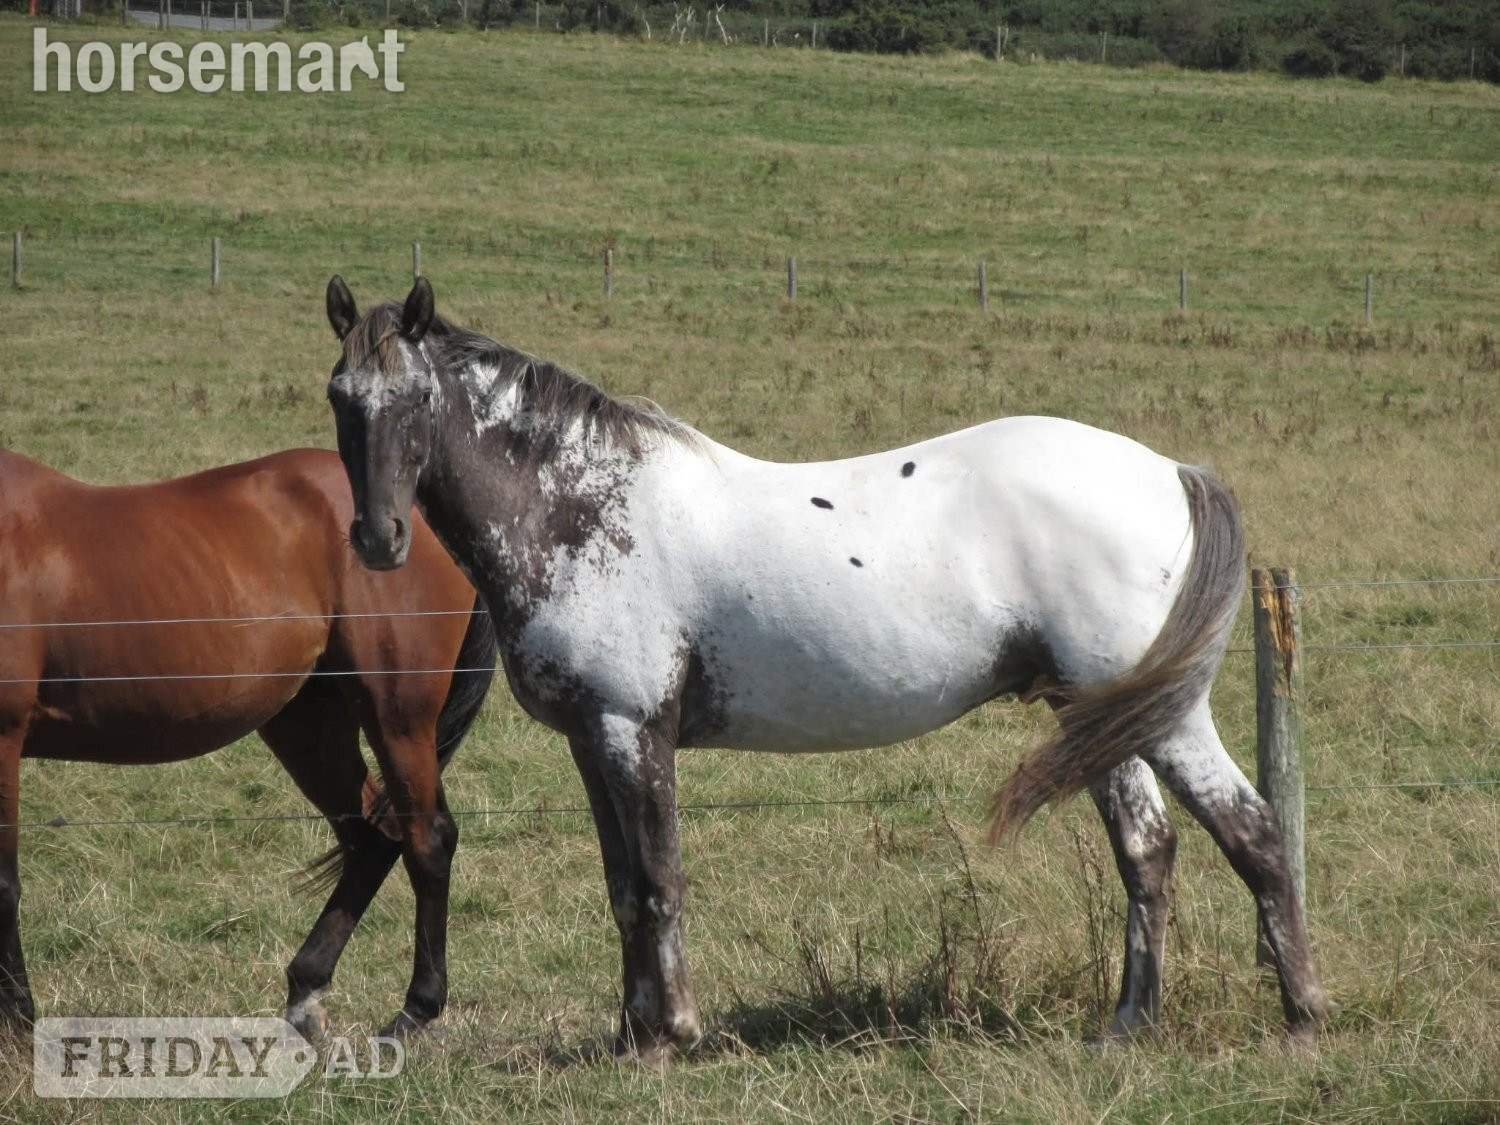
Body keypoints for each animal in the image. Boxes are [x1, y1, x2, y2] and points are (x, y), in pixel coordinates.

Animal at [0, 445, 496, 1040]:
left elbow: (2, 887)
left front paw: (19, 1023)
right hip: (309, 722)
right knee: (373, 836)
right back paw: (307, 989)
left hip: (395, 711)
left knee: (427, 840)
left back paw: (415, 1009)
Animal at [323, 275, 1330, 1061]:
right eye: (340, 397)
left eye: (416, 401)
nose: (377, 539)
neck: (580, 507)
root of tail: (1167, 470)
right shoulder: (590, 739)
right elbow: (622, 889)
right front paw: (631, 1032)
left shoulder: (630, 728)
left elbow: (659, 880)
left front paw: (670, 1034)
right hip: (1099, 717)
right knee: (1148, 848)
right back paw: (1130, 1025)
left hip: (1154, 714)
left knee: (1253, 832)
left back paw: (1303, 1016)